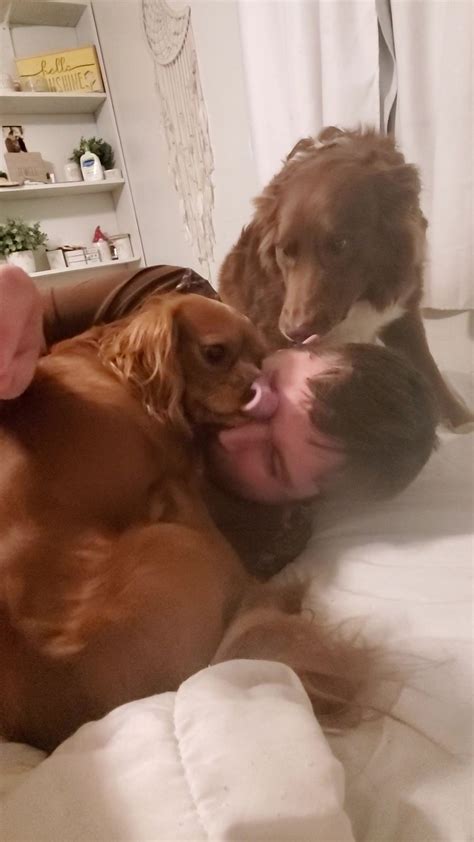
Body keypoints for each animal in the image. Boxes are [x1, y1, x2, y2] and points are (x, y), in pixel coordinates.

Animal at [219, 126, 472, 428]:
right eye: (285, 251)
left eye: (340, 244)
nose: (294, 332)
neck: (363, 295)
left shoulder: (404, 309)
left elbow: (428, 368)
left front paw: (460, 418)